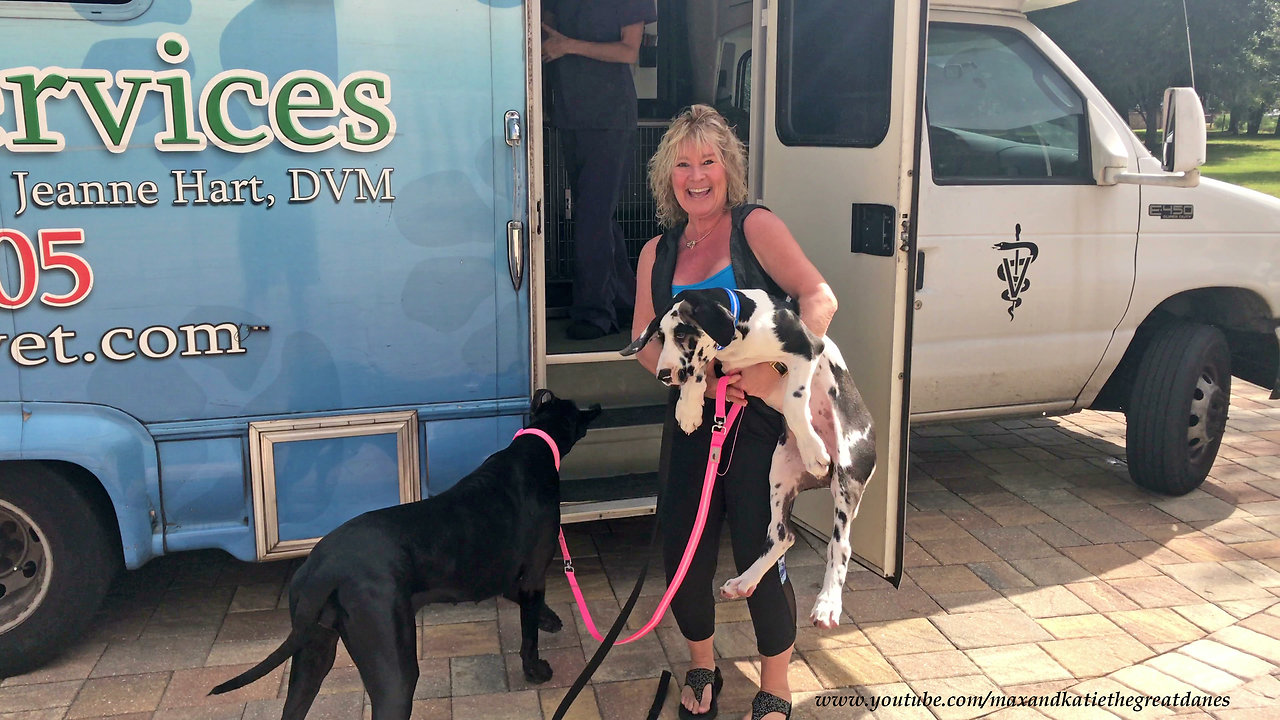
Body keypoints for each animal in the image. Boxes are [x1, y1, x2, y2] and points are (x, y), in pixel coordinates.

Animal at [212, 389, 601, 712]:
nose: (595, 408)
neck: (536, 445)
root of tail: (324, 568)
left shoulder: (504, 574)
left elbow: (521, 601)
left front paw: (547, 617)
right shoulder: (533, 573)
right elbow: (528, 632)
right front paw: (534, 668)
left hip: (313, 655)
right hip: (393, 670)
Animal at [616, 288, 875, 625]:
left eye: (683, 334)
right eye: (661, 337)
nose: (663, 375)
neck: (740, 337)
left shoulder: (807, 348)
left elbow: (794, 399)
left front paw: (814, 451)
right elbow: (699, 372)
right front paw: (689, 408)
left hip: (847, 478)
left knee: (839, 545)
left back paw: (827, 603)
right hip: (778, 476)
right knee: (782, 536)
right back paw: (745, 581)